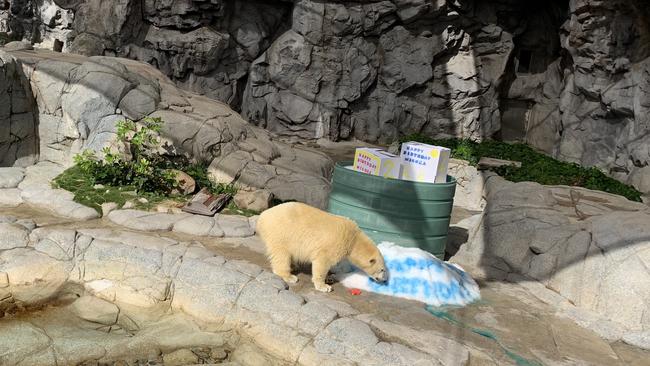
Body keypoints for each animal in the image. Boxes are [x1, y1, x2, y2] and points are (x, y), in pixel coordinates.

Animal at [253, 202, 384, 294]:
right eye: (383, 269)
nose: (383, 280)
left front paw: (330, 278)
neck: (353, 238)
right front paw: (324, 287)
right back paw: (289, 276)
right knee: (281, 255)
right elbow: (322, 262)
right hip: (281, 233)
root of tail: (262, 216)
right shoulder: (333, 244)